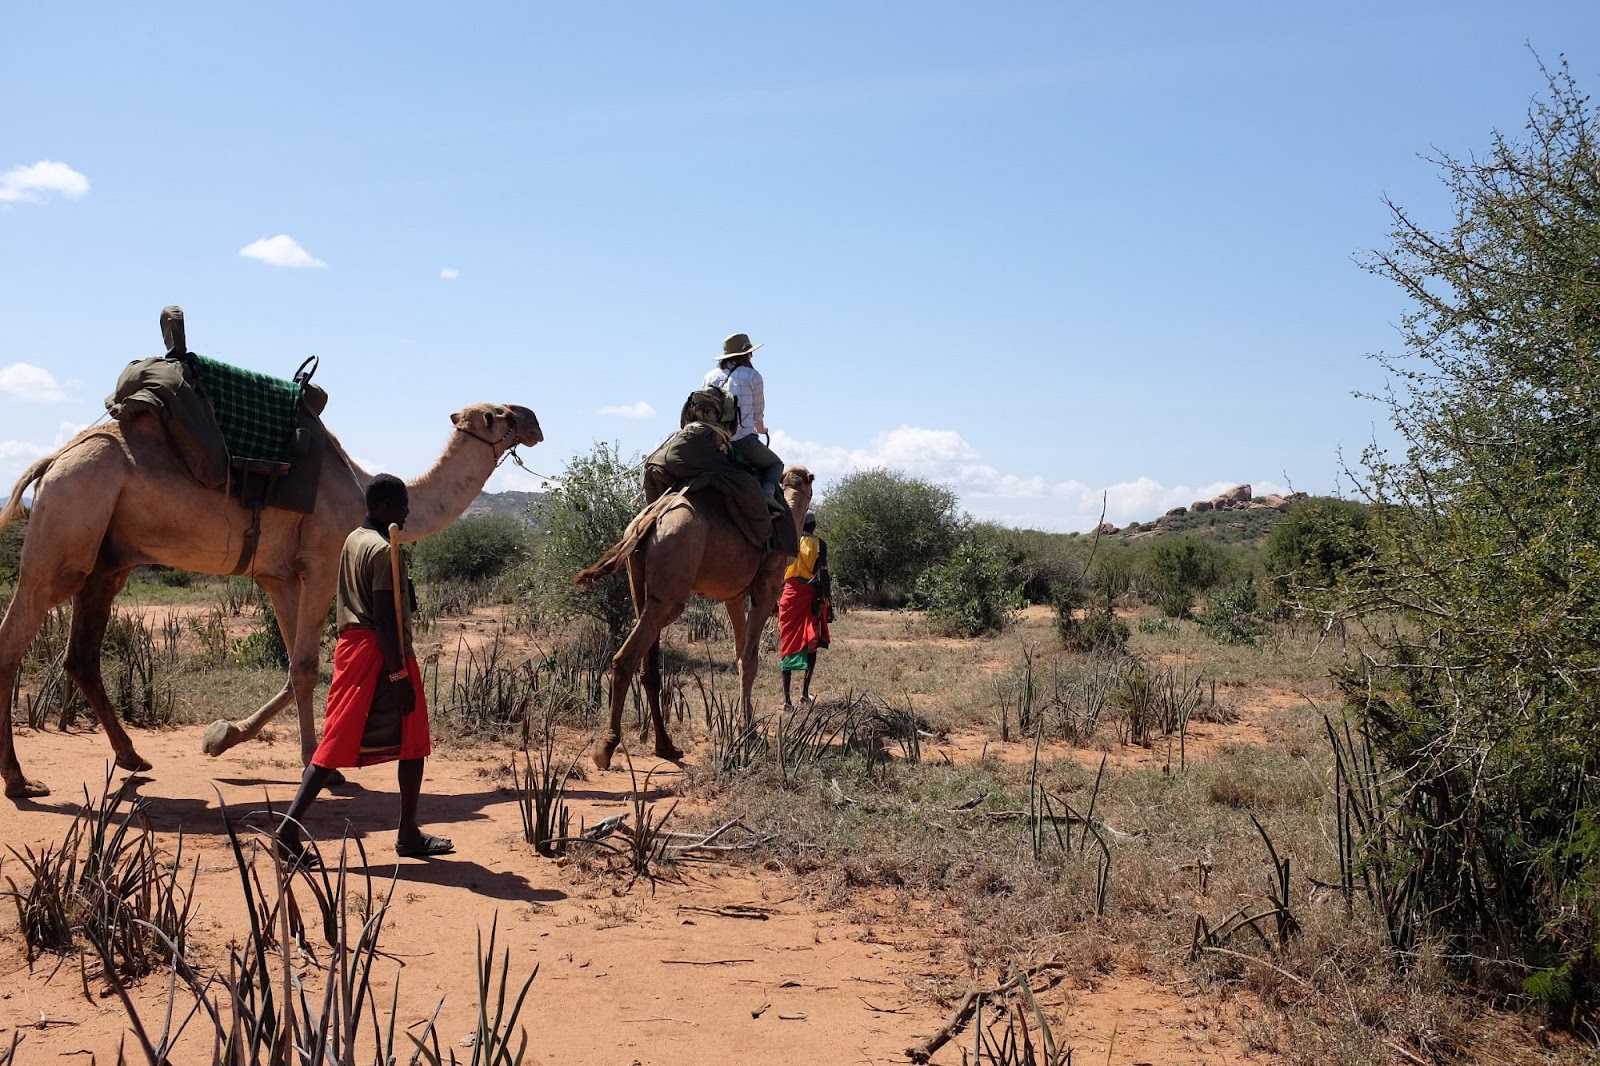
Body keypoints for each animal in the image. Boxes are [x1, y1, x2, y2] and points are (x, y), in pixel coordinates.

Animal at [576, 464, 812, 765]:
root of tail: (652, 516)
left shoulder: (733, 596)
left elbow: (739, 654)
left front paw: (745, 725)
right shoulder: (766, 588)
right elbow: (750, 659)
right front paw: (749, 732)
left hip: (642, 582)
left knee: (649, 664)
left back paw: (666, 746)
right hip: (674, 571)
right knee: (625, 658)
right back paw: (606, 747)